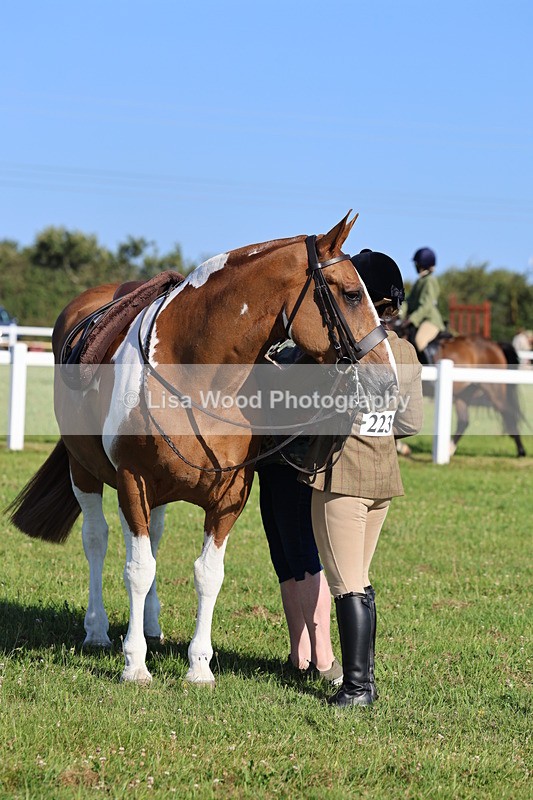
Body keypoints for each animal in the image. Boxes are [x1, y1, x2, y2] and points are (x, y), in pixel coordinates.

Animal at [8, 213, 398, 686]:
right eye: (352, 294)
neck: (195, 376)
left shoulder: (230, 497)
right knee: (97, 540)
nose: (389, 381)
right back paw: (98, 630)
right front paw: (134, 665)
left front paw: (198, 667)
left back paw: (151, 626)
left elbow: (207, 573)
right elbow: (137, 570)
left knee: (153, 540)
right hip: (85, 472)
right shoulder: (133, 482)